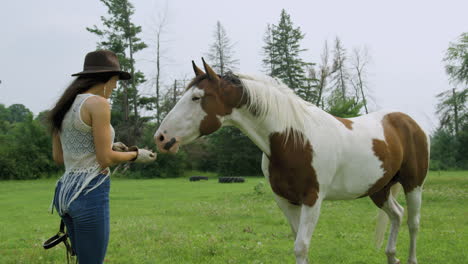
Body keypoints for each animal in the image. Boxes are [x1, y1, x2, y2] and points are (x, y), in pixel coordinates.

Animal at [155, 59, 430, 264]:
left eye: (196, 97)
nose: (161, 138)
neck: (294, 139)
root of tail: (406, 121)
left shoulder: (312, 200)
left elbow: (301, 246)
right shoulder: (286, 201)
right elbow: (297, 242)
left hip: (413, 185)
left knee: (413, 223)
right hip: (379, 189)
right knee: (397, 215)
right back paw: (391, 256)